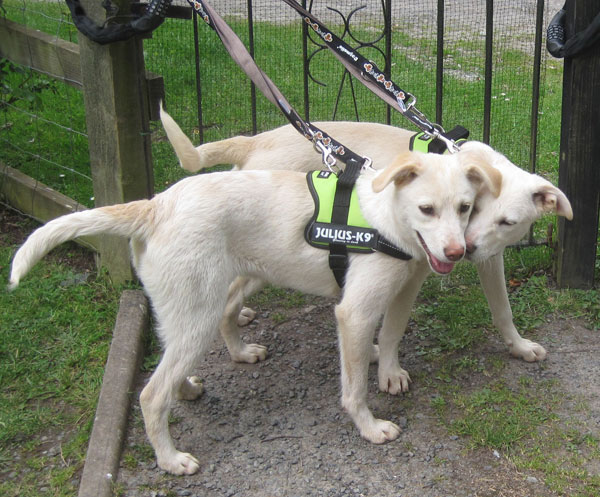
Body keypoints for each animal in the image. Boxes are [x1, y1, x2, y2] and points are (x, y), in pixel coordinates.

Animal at [9, 150, 496, 472]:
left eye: (465, 207)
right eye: (426, 209)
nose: (457, 252)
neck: (386, 221)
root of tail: (155, 205)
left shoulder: (402, 291)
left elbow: (391, 337)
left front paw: (389, 373)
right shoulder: (354, 313)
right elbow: (354, 387)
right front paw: (370, 427)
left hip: (205, 301)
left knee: (186, 351)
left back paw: (206, 376)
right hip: (199, 312)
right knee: (151, 395)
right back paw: (170, 459)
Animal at [162, 109, 576, 384]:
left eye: (507, 222)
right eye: (471, 208)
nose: (464, 250)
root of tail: (255, 140)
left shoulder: (492, 260)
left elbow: (502, 309)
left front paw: (519, 346)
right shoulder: (414, 269)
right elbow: (391, 326)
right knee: (227, 295)